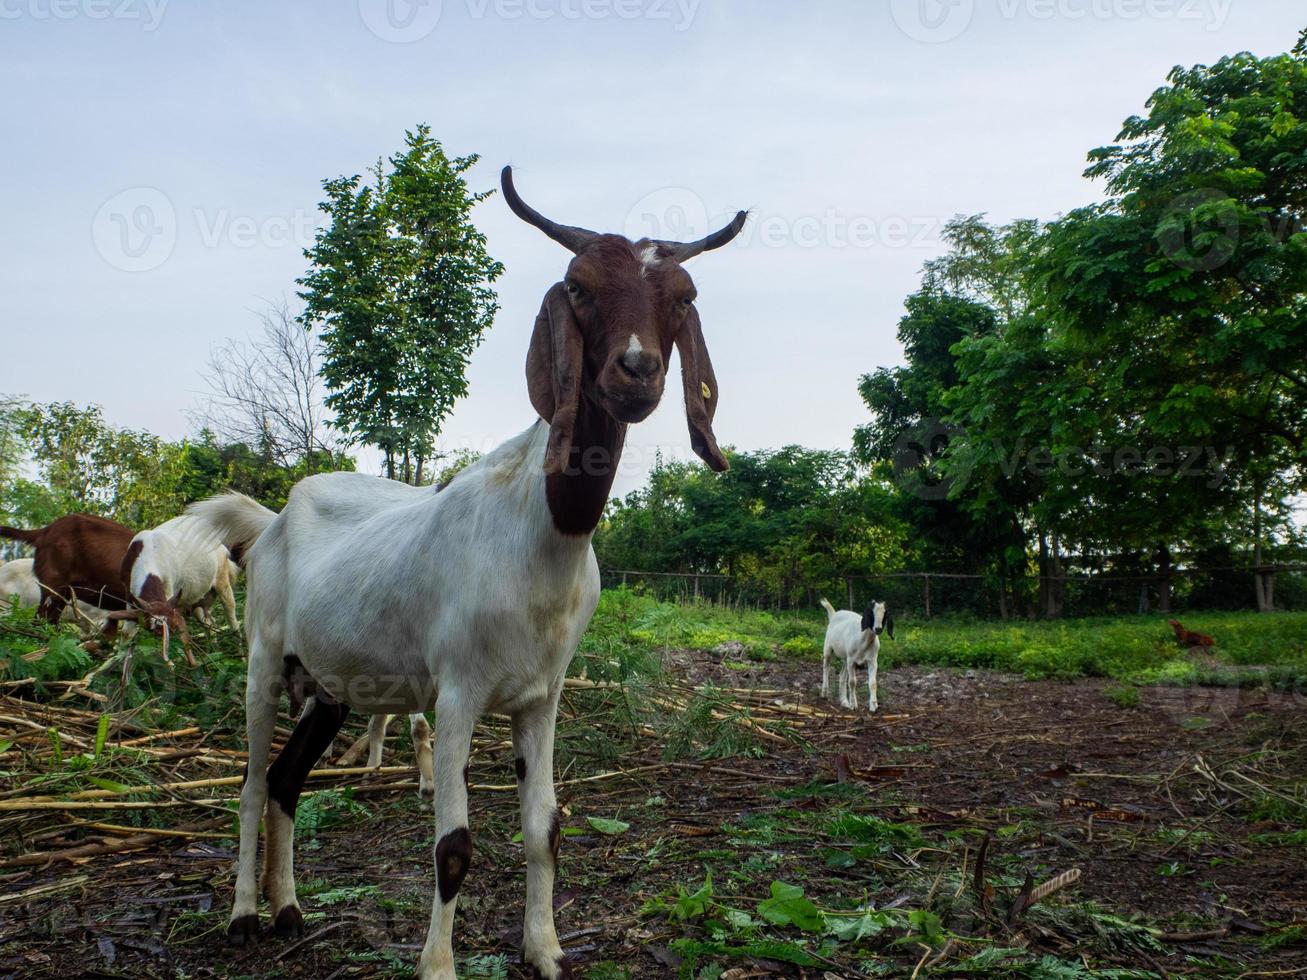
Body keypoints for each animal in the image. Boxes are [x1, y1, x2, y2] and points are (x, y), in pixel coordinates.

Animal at [190, 165, 752, 977]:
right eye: (578, 286)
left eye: (683, 295)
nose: (637, 372)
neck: (535, 533)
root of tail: (269, 524)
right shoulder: (456, 693)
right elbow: (452, 847)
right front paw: (437, 965)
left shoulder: (540, 698)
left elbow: (545, 827)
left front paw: (545, 951)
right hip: (265, 659)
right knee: (248, 784)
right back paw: (242, 915)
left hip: (331, 685)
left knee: (286, 779)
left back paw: (289, 909)